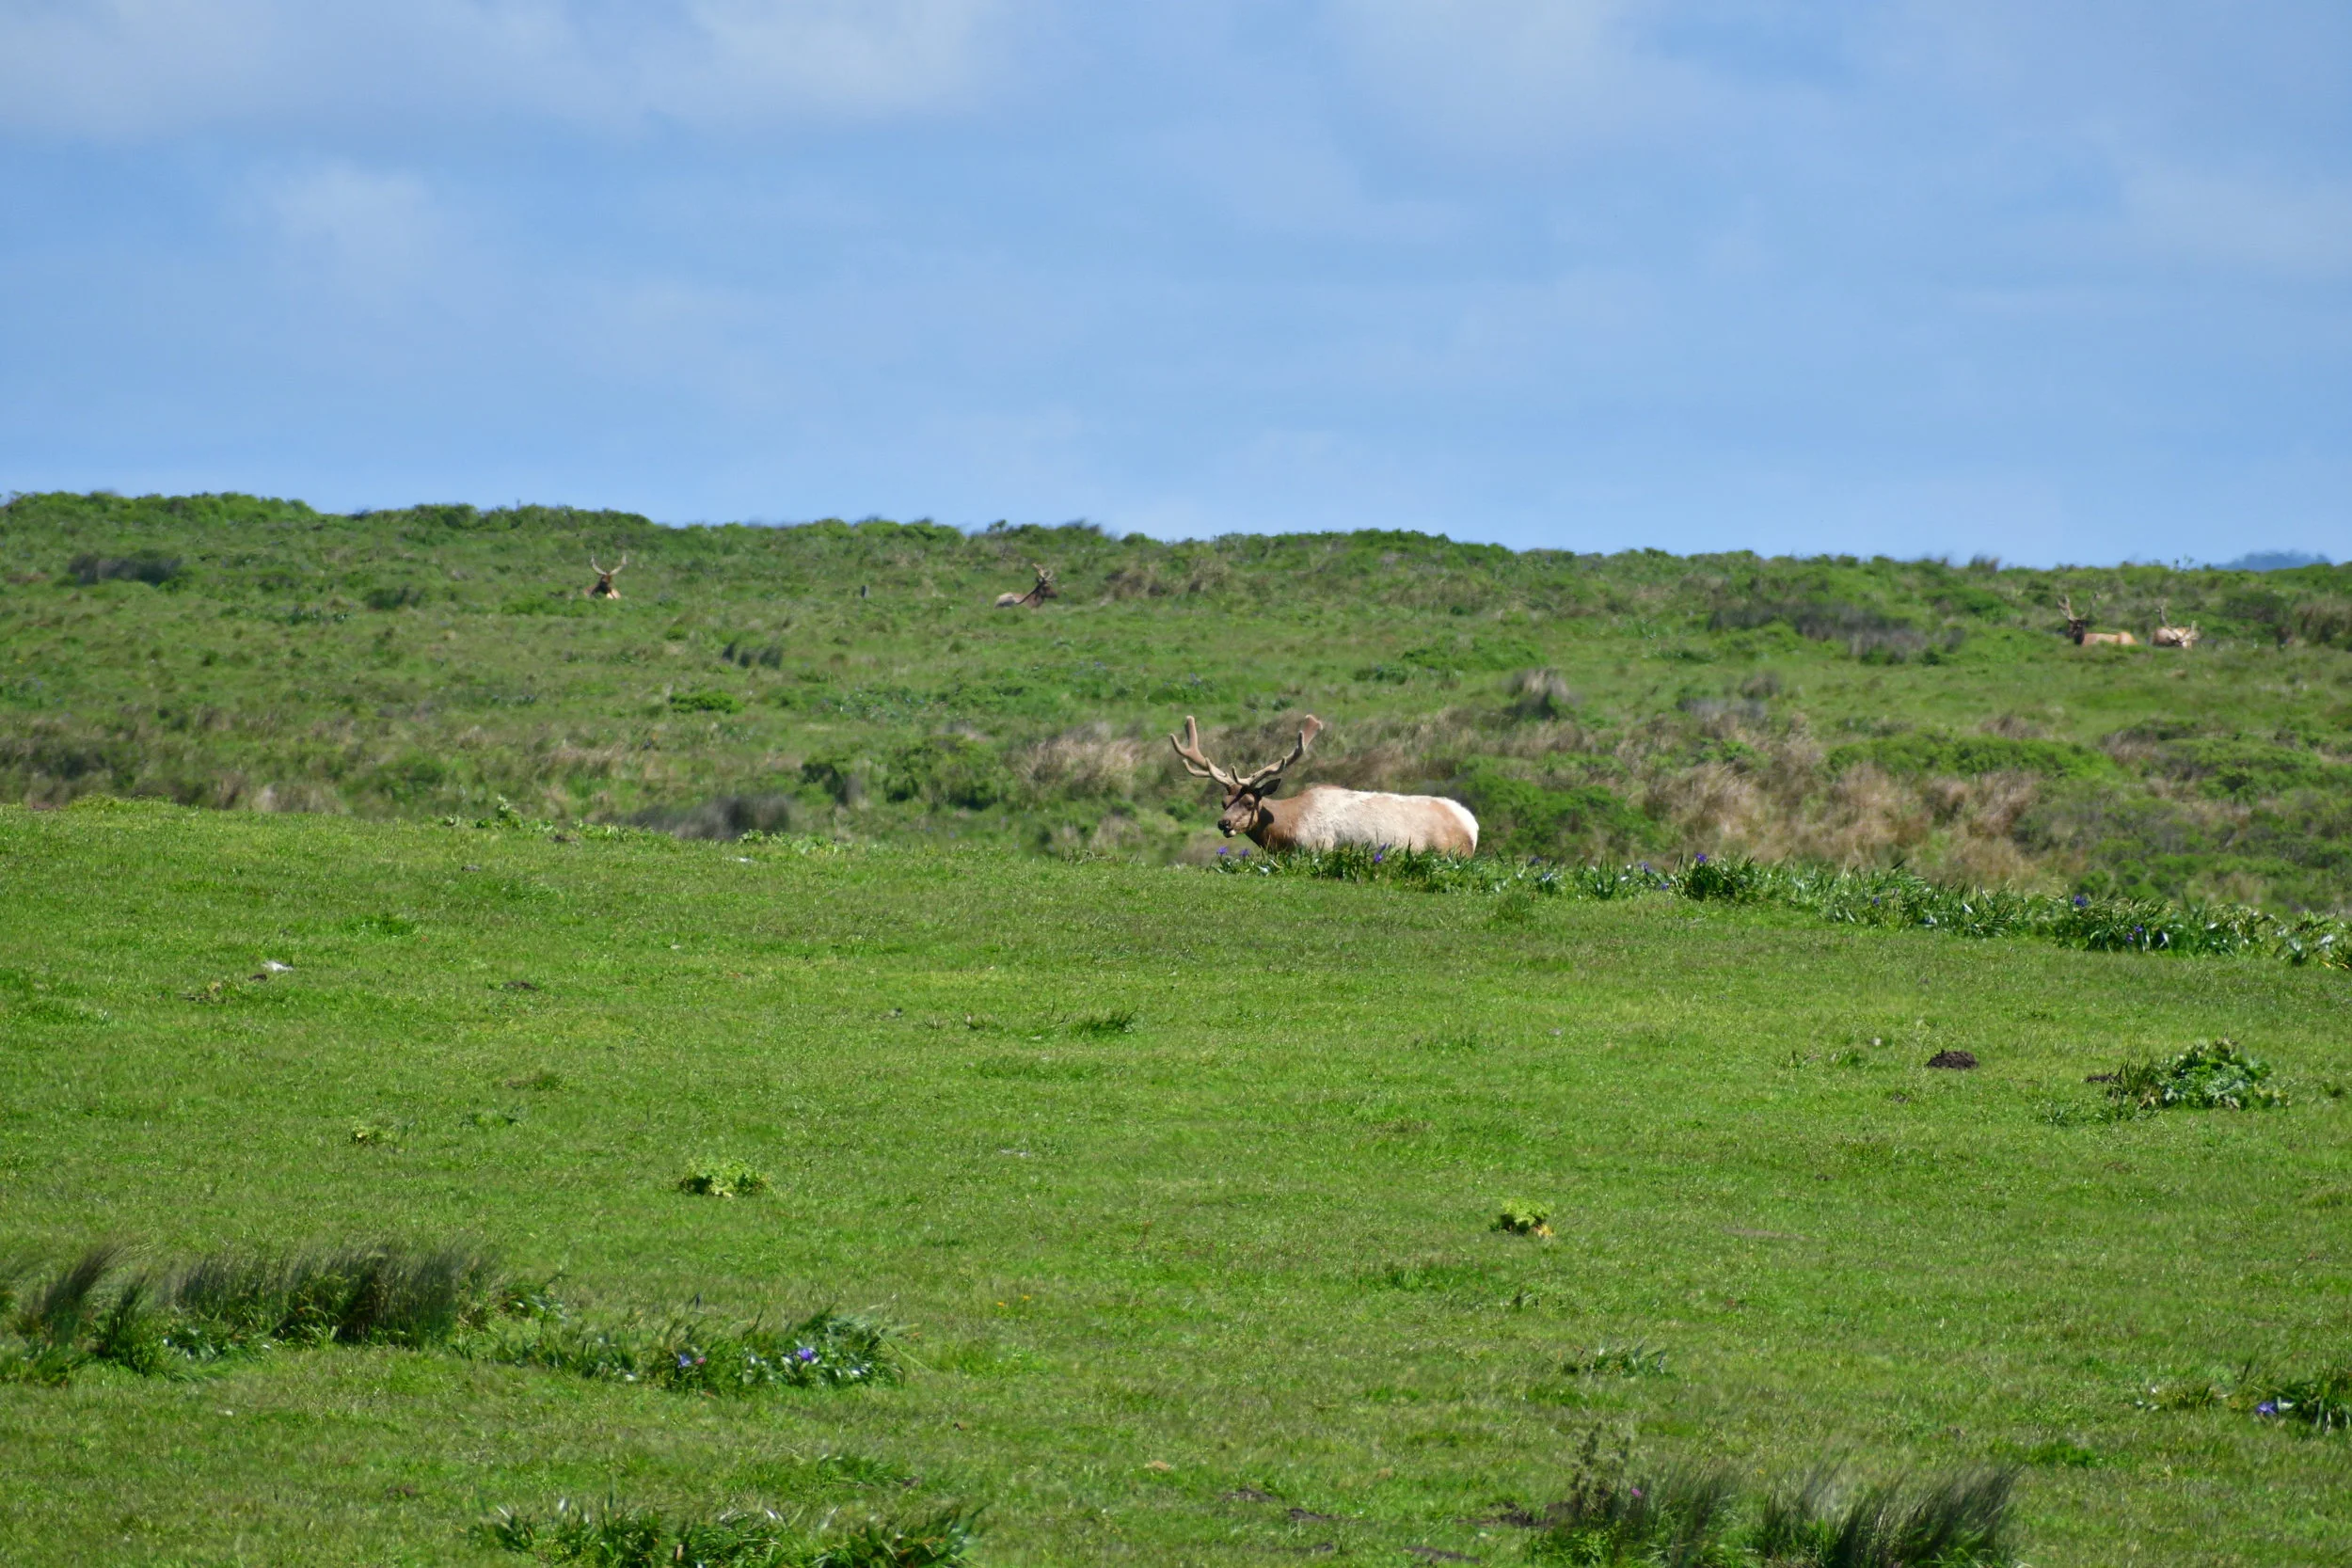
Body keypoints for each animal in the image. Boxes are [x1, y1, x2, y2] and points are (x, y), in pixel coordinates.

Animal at [1170, 714, 1479, 856]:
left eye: (1249, 802)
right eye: (1223, 802)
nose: (1224, 823)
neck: (1287, 832)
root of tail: (1472, 824)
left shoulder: (1319, 847)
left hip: (1452, 852)